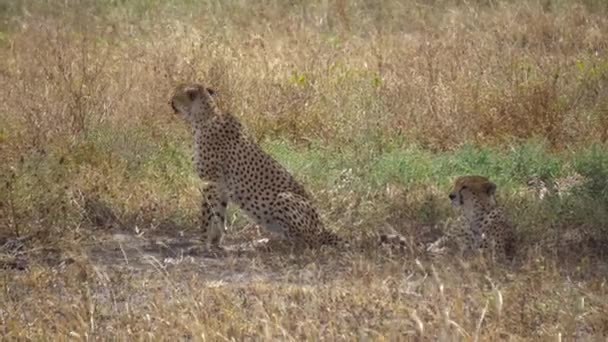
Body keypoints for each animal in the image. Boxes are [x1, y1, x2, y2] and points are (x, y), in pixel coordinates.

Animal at [170, 83, 346, 248]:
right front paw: (214, 241)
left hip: (284, 198)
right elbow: (219, 215)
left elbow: (207, 214)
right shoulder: (221, 186)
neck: (204, 118)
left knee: (308, 242)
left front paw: (202, 241)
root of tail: (323, 229)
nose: (169, 102)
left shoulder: (210, 181)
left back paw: (278, 244)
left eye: (174, 97)